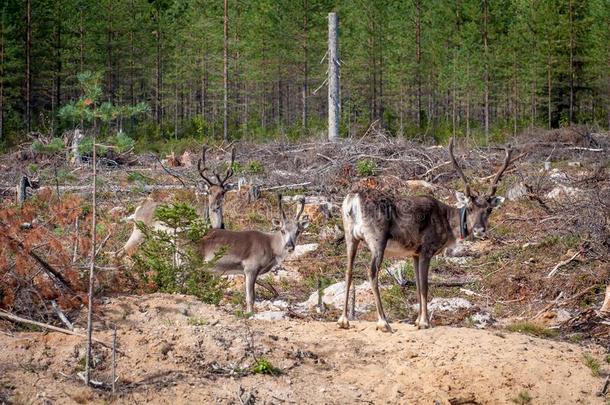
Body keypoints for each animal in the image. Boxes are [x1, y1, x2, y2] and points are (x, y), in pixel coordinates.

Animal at [340, 139, 510, 332]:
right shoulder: (427, 249)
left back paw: (343, 320)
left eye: (489, 210)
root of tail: (353, 199)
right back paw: (383, 322)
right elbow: (425, 285)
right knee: (372, 272)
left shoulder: (415, 253)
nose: (479, 230)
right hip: (377, 240)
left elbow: (417, 282)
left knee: (348, 270)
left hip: (350, 235)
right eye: (470, 207)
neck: (448, 225)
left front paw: (417, 320)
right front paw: (424, 321)